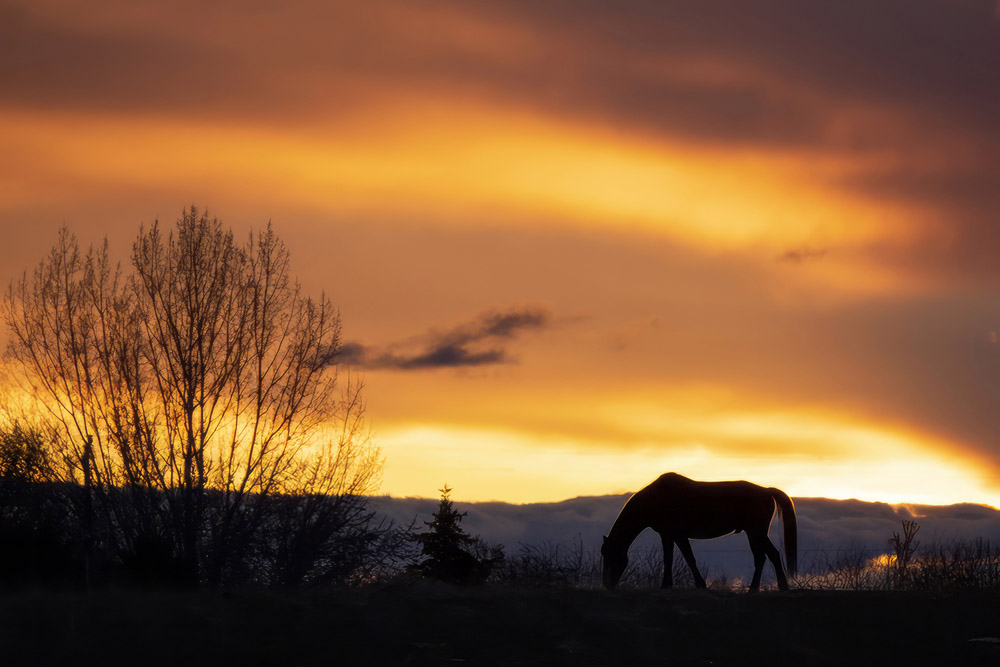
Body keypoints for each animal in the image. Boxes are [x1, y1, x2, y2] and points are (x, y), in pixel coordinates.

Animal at [601, 472, 797, 592]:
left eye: (609, 554)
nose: (606, 584)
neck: (656, 499)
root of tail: (767, 490)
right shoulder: (670, 535)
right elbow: (676, 558)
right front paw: (675, 585)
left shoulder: (675, 535)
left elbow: (683, 559)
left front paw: (682, 585)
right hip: (753, 533)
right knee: (764, 557)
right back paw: (762, 588)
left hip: (756, 532)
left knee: (770, 555)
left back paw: (772, 587)